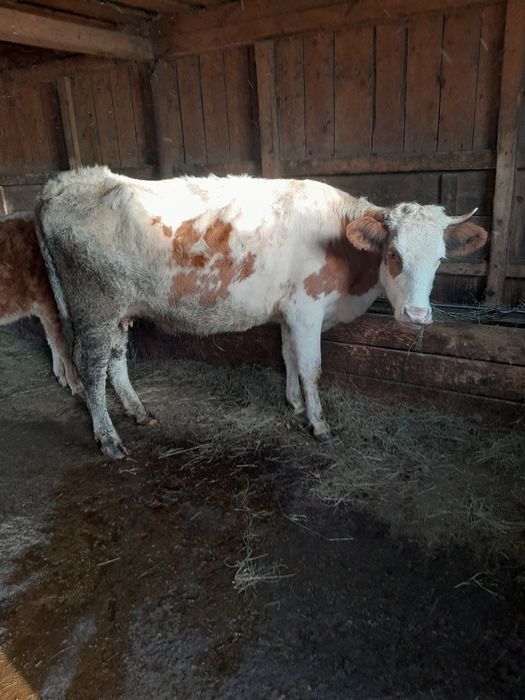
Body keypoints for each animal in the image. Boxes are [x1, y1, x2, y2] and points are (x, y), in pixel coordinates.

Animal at [36, 166, 488, 459]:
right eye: (394, 255)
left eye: (441, 259)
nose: (417, 315)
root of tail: (69, 180)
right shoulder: (307, 310)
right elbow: (311, 367)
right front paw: (319, 425)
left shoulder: (289, 312)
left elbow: (288, 356)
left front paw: (296, 405)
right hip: (94, 307)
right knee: (91, 366)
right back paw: (109, 439)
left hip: (119, 310)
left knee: (114, 360)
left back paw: (138, 411)